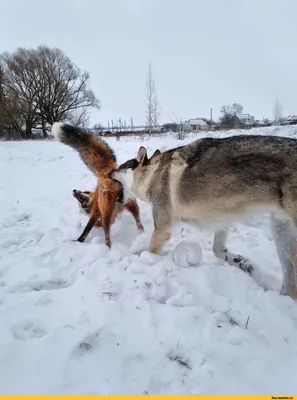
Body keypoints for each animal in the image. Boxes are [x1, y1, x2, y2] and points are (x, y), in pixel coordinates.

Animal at [112, 135, 297, 300]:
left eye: (119, 167)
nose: (110, 171)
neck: (154, 174)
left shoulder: (162, 230)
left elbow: (148, 253)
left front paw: (141, 259)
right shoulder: (222, 219)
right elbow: (218, 250)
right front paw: (240, 262)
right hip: (280, 230)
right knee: (290, 281)